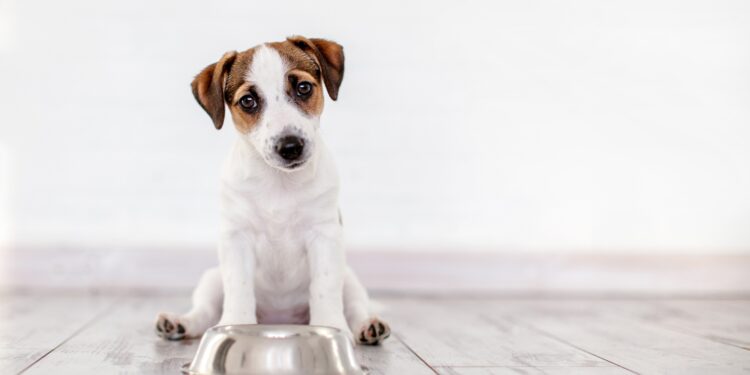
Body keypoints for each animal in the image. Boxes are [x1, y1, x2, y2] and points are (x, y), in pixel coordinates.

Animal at [153, 36, 390, 346]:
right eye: (248, 101)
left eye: (303, 88)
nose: (290, 146)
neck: (279, 183)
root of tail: (280, 319)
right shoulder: (236, 239)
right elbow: (239, 288)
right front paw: (236, 325)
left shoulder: (325, 236)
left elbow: (325, 288)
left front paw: (330, 327)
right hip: (212, 280)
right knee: (204, 311)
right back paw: (179, 323)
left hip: (349, 279)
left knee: (355, 306)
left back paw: (369, 326)